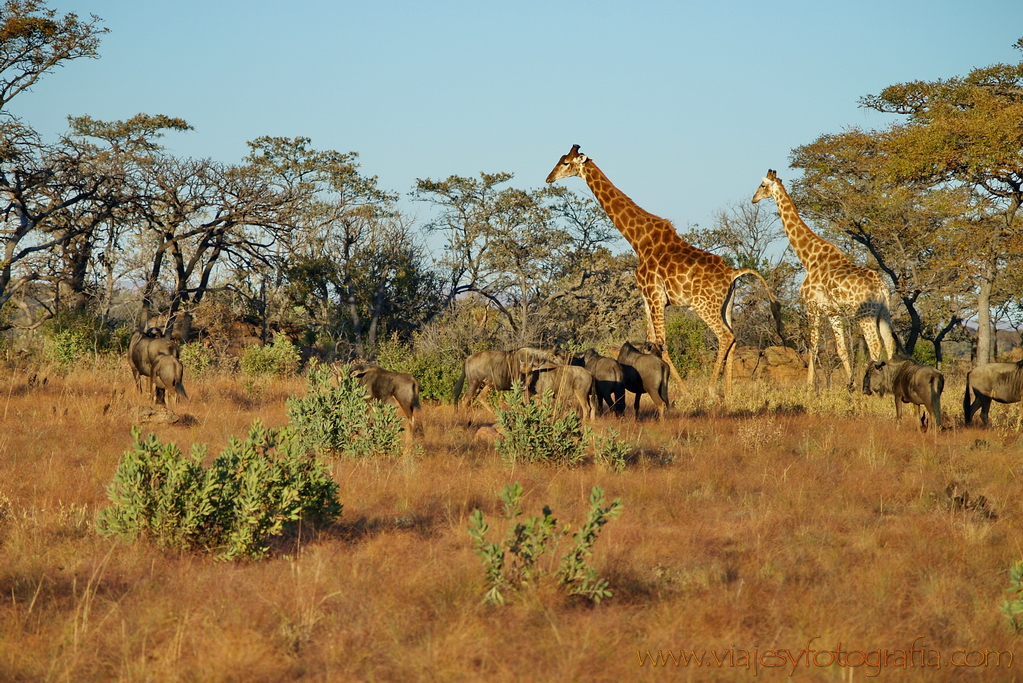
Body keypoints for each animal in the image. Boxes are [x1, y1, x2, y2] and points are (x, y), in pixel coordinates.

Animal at [548, 145, 777, 400]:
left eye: (566, 163)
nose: (549, 178)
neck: (638, 240)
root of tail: (732, 274)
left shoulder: (655, 296)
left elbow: (660, 343)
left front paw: (685, 392)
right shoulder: (647, 298)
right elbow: (650, 341)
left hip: (703, 305)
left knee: (725, 336)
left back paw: (711, 389)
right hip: (726, 304)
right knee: (734, 338)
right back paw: (728, 392)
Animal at [752, 168, 896, 386]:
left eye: (762, 185)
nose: (753, 199)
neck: (808, 256)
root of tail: (881, 286)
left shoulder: (811, 305)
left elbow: (812, 345)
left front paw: (810, 385)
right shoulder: (833, 312)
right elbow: (841, 349)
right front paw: (850, 384)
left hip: (865, 314)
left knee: (875, 346)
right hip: (883, 312)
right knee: (889, 343)